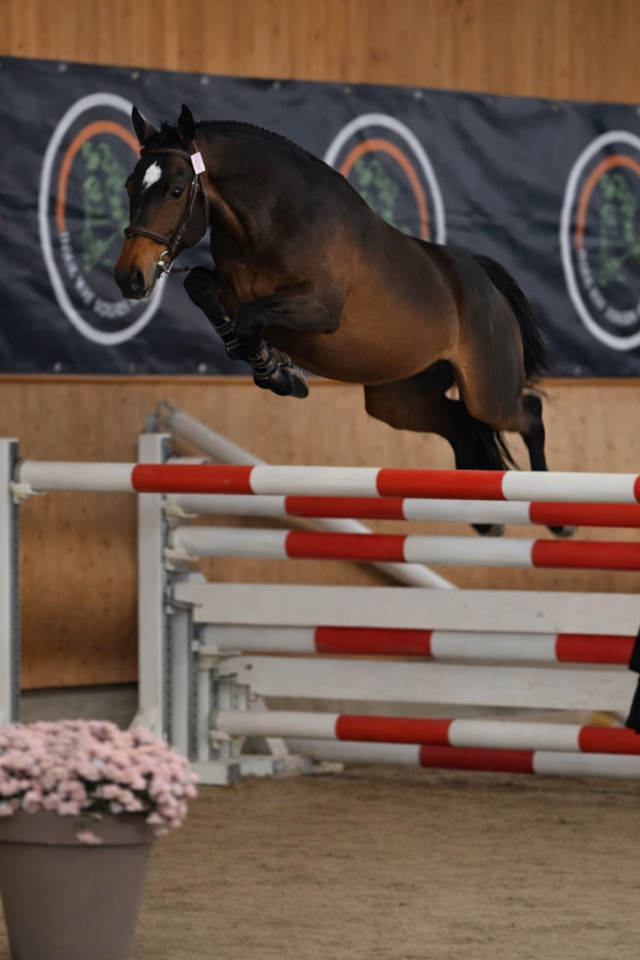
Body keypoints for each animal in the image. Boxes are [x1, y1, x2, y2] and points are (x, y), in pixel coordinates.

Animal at [114, 104, 571, 538]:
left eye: (176, 191)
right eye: (129, 186)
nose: (129, 277)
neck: (270, 221)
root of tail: (484, 283)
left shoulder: (322, 307)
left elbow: (251, 320)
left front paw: (278, 373)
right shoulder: (229, 288)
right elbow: (202, 289)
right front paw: (274, 365)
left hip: (489, 393)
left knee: (528, 414)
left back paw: (557, 519)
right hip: (400, 398)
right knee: (459, 424)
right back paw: (482, 518)